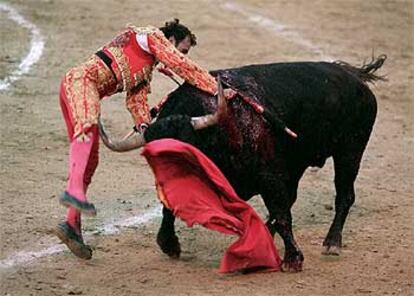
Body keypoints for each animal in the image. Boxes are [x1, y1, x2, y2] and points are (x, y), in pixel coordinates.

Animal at [98, 54, 386, 272]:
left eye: (187, 149)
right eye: (152, 158)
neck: (219, 132)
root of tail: (353, 75)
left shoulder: (270, 176)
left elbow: (283, 214)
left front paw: (292, 260)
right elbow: (169, 209)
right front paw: (169, 243)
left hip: (351, 150)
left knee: (344, 196)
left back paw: (332, 243)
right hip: (299, 163)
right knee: (293, 199)